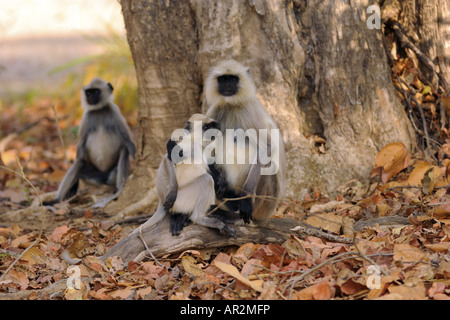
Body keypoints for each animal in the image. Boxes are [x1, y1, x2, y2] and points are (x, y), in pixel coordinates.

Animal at [44, 77, 136, 208]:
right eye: (88, 92)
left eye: (96, 92)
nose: (90, 97)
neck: (99, 110)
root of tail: (104, 177)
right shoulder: (86, 116)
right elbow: (81, 150)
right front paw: (72, 189)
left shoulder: (114, 111)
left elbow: (129, 141)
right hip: (93, 177)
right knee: (79, 162)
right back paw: (56, 200)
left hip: (111, 173)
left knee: (124, 151)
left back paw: (117, 190)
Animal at [206, 60, 286, 225]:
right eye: (223, 79)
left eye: (233, 79)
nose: (227, 86)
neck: (232, 105)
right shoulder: (215, 110)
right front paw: (221, 183)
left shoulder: (248, 112)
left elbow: (267, 148)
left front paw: (246, 200)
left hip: (265, 203)